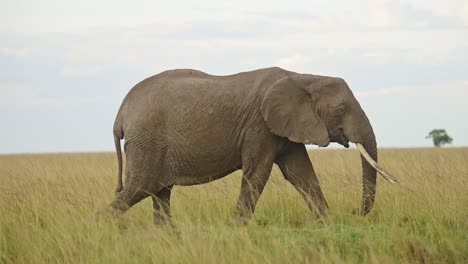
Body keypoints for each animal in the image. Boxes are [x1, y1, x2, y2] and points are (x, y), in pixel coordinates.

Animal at [109, 67, 398, 224]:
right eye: (340, 109)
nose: (355, 211)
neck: (303, 77)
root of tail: (121, 112)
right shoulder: (260, 125)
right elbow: (257, 173)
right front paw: (235, 228)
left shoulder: (284, 128)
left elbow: (301, 174)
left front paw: (327, 223)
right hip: (147, 142)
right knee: (141, 187)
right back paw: (105, 228)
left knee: (160, 193)